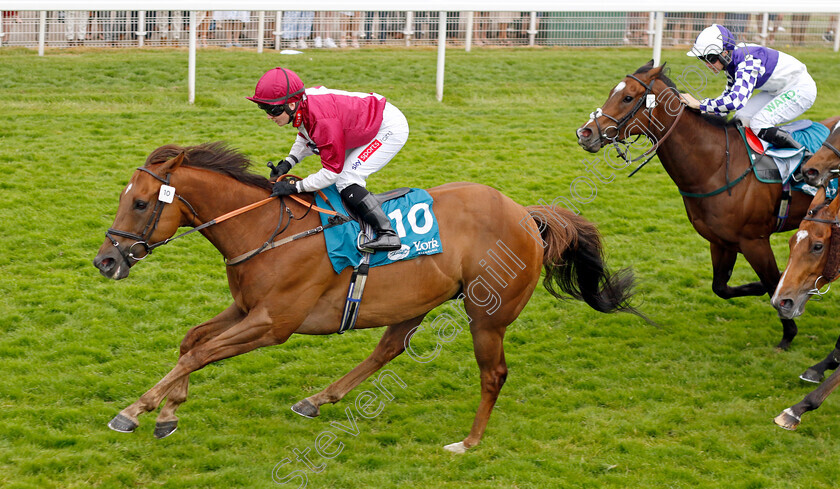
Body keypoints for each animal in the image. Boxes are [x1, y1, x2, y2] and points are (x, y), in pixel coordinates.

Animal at [93, 143, 644, 452]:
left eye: (139, 203)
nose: (106, 261)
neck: (265, 228)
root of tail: (527, 217)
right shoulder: (247, 307)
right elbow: (192, 342)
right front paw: (168, 412)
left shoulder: (274, 323)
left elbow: (202, 353)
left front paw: (138, 411)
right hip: (416, 301)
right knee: (389, 347)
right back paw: (318, 399)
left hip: (487, 314)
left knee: (493, 374)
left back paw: (469, 442)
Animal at [576, 60, 840, 350]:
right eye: (612, 91)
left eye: (627, 97)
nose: (585, 133)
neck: (716, 164)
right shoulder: (721, 240)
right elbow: (721, 287)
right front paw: (761, 288)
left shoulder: (755, 241)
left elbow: (773, 281)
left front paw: (788, 333)